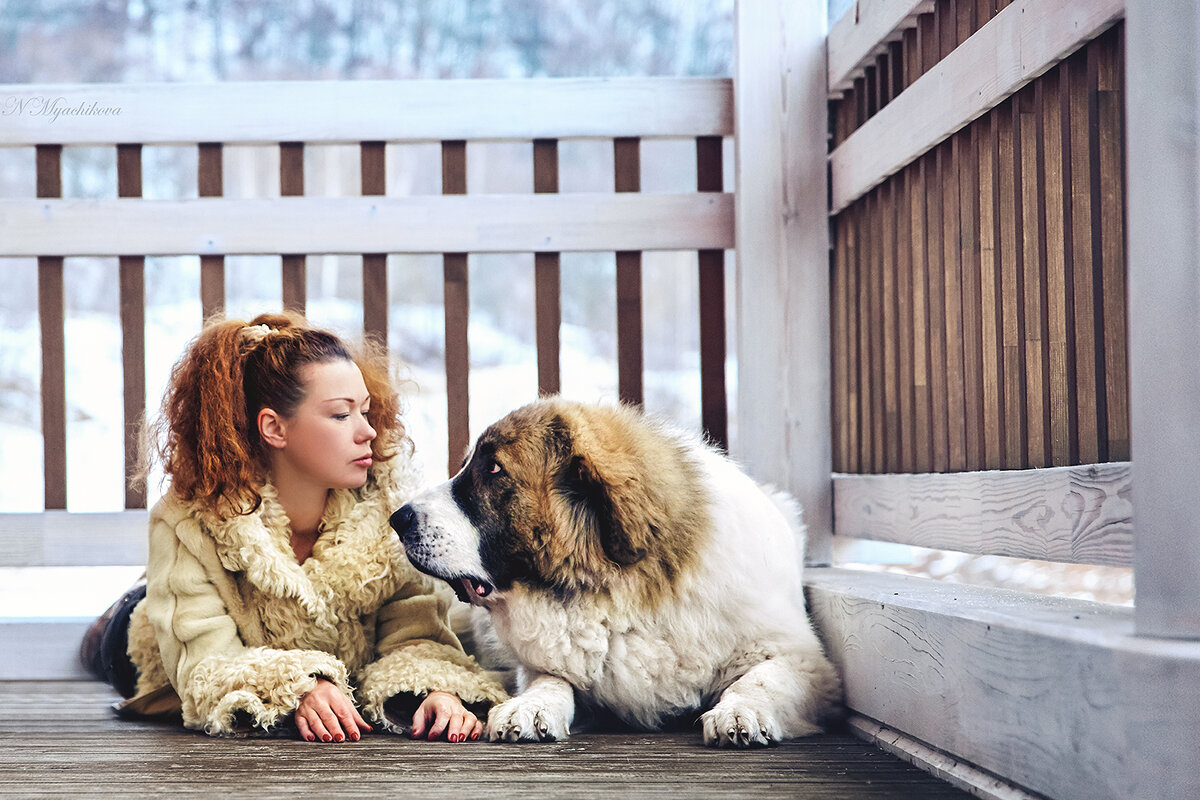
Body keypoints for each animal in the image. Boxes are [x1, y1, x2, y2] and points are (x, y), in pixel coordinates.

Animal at [388, 398, 840, 748]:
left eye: (494, 470)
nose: (397, 518)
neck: (618, 592)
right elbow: (550, 679)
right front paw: (530, 705)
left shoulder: (804, 661)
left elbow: (761, 678)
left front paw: (742, 711)